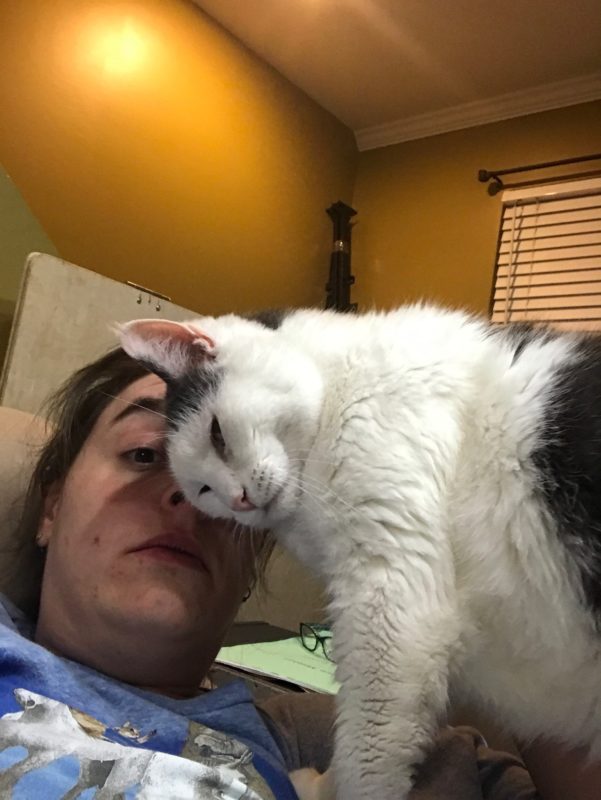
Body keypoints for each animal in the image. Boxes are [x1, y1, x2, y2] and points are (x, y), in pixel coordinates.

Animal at [117, 308, 600, 800]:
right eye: (203, 491)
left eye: (217, 435)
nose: (239, 501)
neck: (336, 391)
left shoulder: (392, 598)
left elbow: (365, 747)